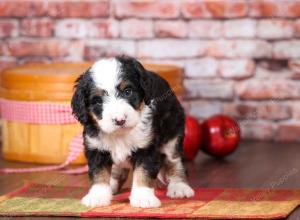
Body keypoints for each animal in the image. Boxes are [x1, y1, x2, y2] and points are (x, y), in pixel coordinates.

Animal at [72, 55, 195, 208]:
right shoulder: (96, 149)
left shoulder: (146, 147)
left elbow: (143, 172)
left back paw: (179, 186)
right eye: (98, 101)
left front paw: (143, 197)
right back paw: (112, 185)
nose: (119, 120)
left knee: (175, 161)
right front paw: (98, 195)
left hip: (172, 135)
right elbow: (99, 173)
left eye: (127, 91)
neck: (120, 134)